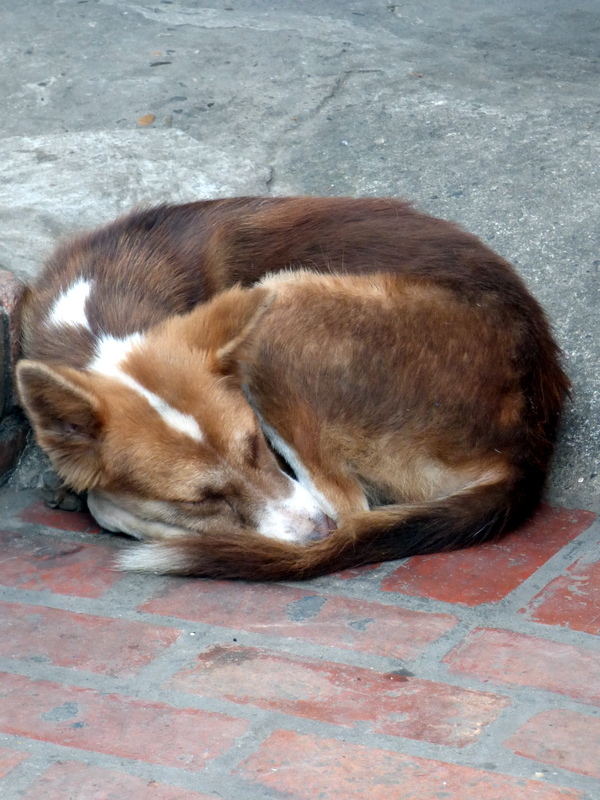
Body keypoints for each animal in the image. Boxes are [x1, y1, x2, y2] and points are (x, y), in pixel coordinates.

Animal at [12, 197, 568, 580]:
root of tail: (528, 444)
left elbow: (107, 505)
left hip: (282, 302)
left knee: (349, 508)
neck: (94, 316)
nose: (317, 532)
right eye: (200, 499)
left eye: (257, 445)